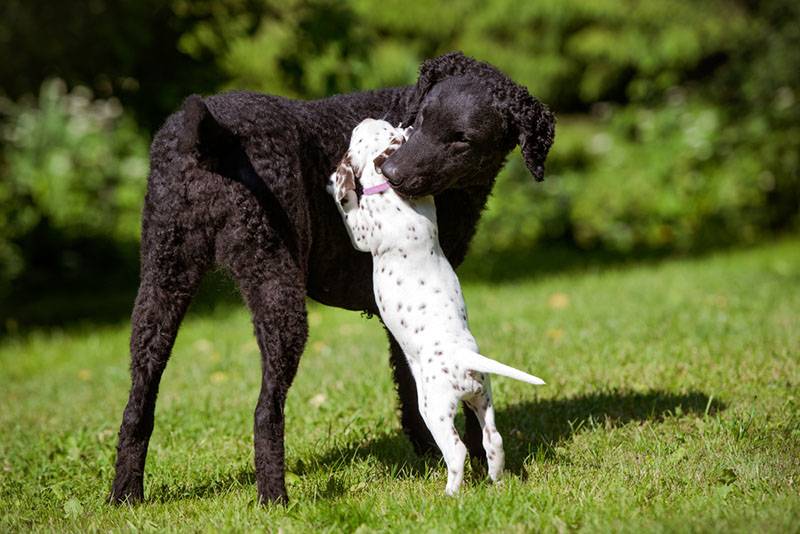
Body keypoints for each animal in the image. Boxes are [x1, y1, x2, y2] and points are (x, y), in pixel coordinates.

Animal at [324, 119, 544, 496]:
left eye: (362, 135)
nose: (363, 120)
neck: (393, 194)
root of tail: (466, 361)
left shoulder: (364, 232)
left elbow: (350, 212)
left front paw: (337, 183)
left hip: (435, 408)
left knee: (456, 449)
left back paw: (450, 493)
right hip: (483, 397)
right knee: (493, 440)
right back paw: (496, 482)